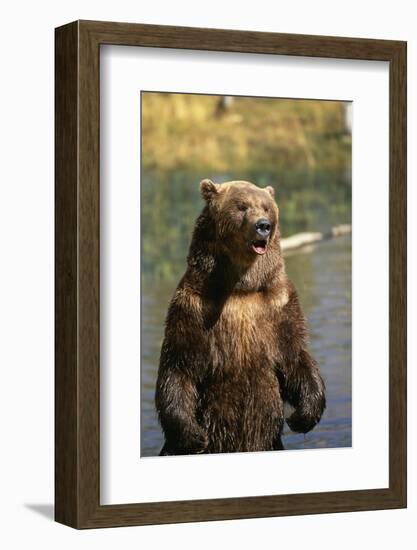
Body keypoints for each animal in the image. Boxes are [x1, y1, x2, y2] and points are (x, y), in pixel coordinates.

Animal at [155, 179, 324, 454]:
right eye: (242, 206)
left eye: (266, 207)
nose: (263, 226)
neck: (240, 287)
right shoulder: (193, 307)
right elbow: (180, 364)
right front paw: (194, 436)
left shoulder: (278, 304)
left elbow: (294, 356)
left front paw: (301, 416)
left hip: (270, 444)